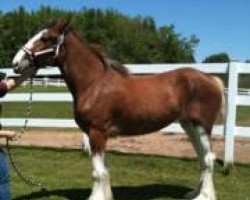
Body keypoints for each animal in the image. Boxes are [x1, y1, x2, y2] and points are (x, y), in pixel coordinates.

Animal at [12, 20, 225, 200]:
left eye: (46, 38)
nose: (15, 63)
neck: (94, 83)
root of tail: (210, 78)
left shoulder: (97, 132)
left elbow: (98, 172)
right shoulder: (97, 135)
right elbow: (104, 169)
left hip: (200, 126)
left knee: (208, 158)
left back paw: (203, 196)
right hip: (188, 125)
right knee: (202, 158)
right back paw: (195, 193)